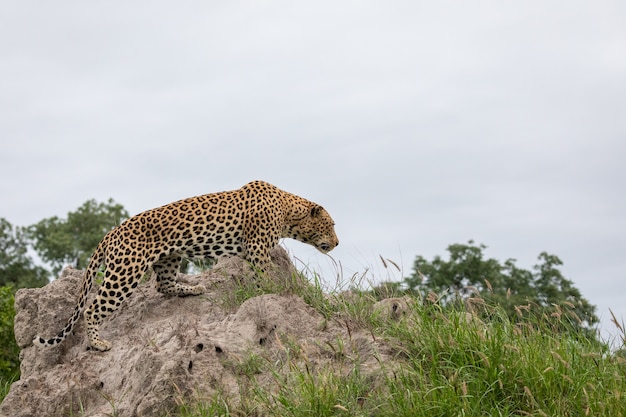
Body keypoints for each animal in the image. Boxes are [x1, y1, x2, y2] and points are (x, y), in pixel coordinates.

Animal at [34, 180, 336, 352]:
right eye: (331, 225)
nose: (337, 242)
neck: (288, 212)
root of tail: (110, 233)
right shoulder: (258, 248)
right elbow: (266, 274)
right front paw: (277, 291)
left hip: (168, 258)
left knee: (163, 285)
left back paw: (193, 288)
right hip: (125, 271)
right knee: (94, 307)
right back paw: (98, 344)